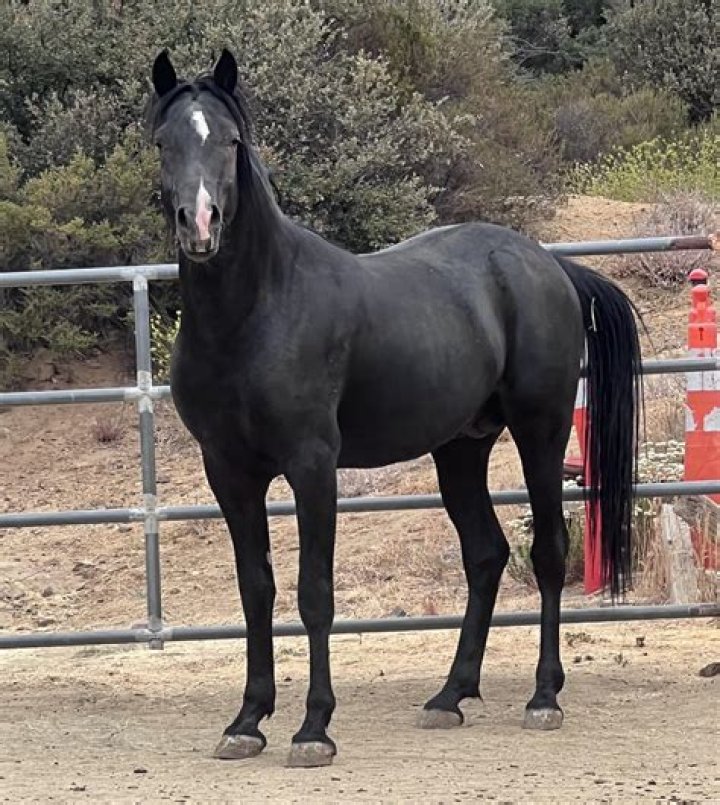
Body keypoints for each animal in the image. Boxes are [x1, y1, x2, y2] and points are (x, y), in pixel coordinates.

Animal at [147, 49, 642, 768]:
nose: (201, 223)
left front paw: (313, 728)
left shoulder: (312, 467)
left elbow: (315, 594)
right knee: (486, 554)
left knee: (547, 550)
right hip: (461, 448)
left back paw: (543, 697)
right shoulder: (229, 472)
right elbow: (256, 590)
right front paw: (247, 720)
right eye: (164, 142)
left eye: (231, 142)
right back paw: (449, 696)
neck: (256, 312)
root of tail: (548, 264)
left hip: (541, 431)